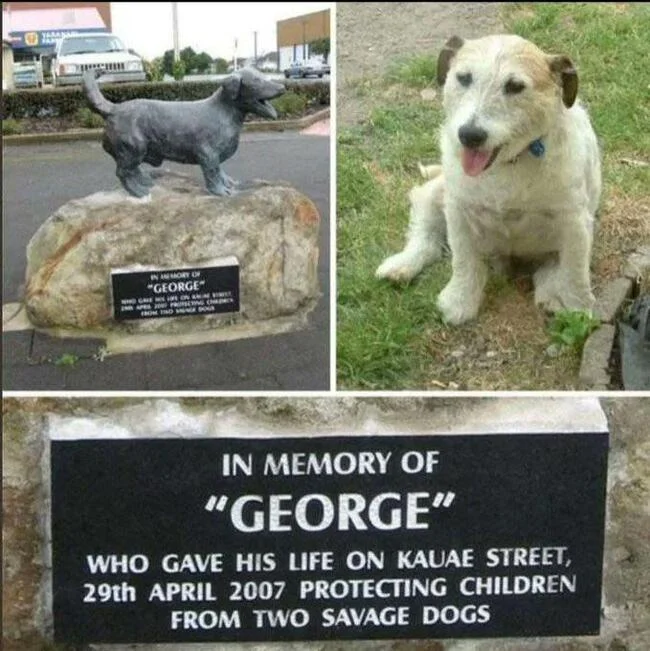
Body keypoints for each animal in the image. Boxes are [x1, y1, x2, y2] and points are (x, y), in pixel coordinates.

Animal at [374, 34, 604, 324]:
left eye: (515, 86)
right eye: (463, 78)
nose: (469, 135)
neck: (508, 164)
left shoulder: (574, 222)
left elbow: (575, 272)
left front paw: (578, 310)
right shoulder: (458, 211)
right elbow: (463, 260)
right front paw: (459, 301)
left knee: (553, 269)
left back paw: (552, 296)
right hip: (436, 194)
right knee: (426, 237)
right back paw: (402, 264)